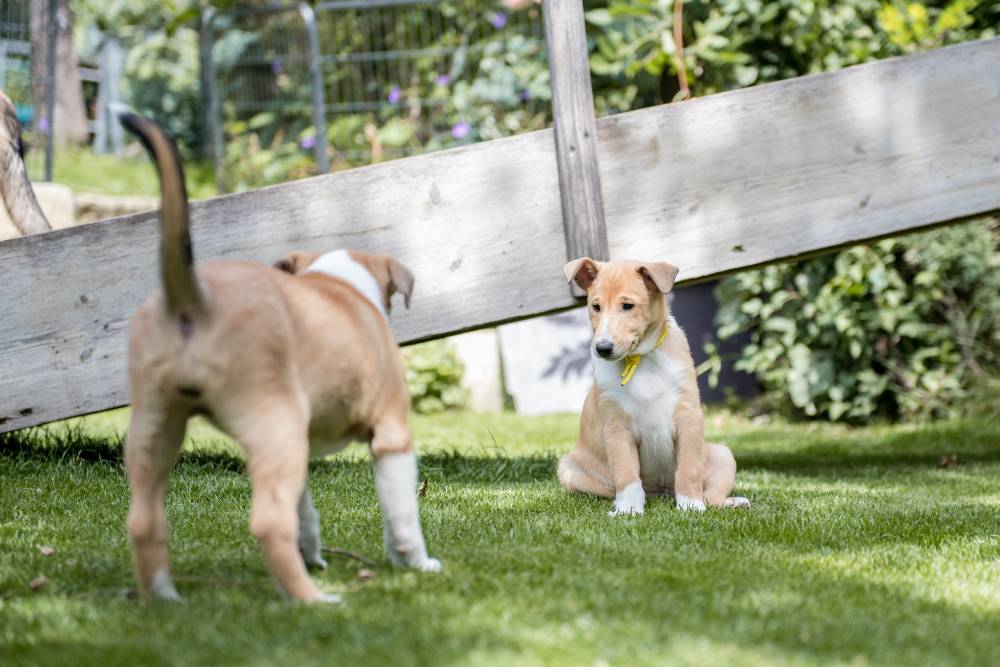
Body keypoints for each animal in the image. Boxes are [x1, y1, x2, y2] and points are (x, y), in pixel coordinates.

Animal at [116, 109, 439, 604]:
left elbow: (305, 511)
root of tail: (193, 297)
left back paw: (166, 599)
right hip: (274, 422)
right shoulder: (391, 432)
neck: (340, 282)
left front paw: (314, 553)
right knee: (268, 521)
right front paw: (416, 562)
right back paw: (313, 600)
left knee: (144, 520)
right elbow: (401, 512)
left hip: (156, 422)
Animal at [557, 257, 750, 515]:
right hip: (568, 468)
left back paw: (729, 502)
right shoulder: (616, 427)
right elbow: (626, 473)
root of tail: (662, 491)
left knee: (711, 496)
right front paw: (628, 509)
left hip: (722, 454)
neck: (641, 359)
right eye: (596, 307)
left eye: (627, 306)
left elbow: (689, 470)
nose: (602, 348)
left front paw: (690, 505)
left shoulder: (689, 416)